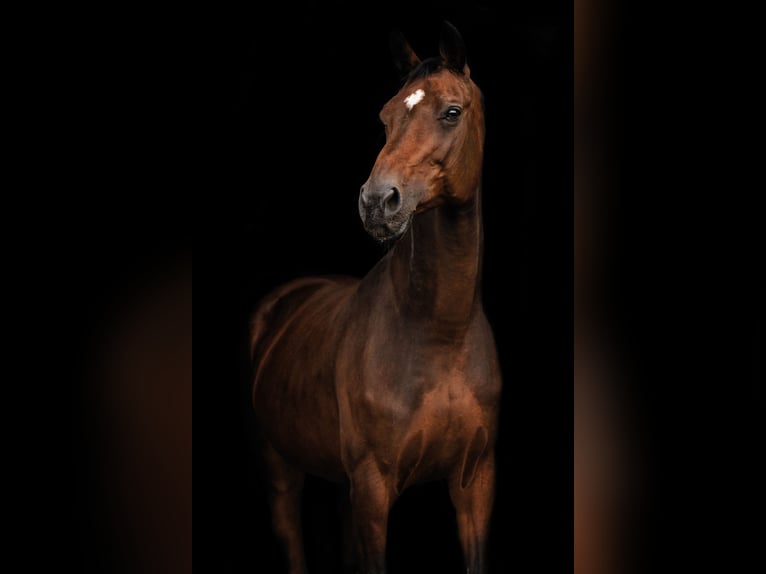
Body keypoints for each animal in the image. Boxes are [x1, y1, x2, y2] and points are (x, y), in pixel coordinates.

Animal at [250, 22, 501, 574]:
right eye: (385, 117)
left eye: (452, 112)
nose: (376, 202)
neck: (439, 332)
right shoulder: (372, 487)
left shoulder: (475, 483)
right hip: (282, 469)